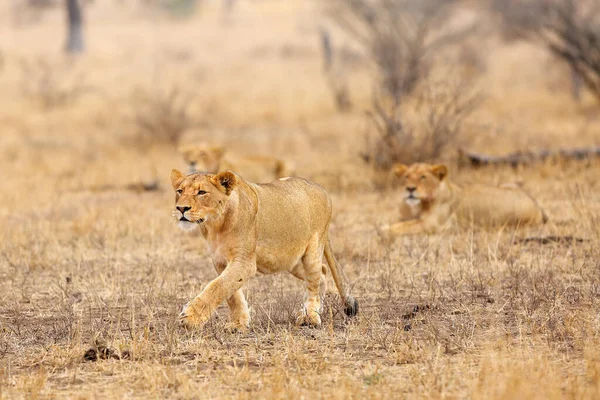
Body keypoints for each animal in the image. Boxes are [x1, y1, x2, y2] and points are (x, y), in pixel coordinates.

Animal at [170, 167, 356, 330]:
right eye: (180, 191)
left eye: (202, 192)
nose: (181, 208)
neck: (215, 225)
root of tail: (322, 189)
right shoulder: (220, 260)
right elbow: (232, 294)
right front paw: (238, 324)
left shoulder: (244, 262)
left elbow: (218, 287)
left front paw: (190, 318)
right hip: (292, 261)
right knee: (323, 272)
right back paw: (315, 310)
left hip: (312, 251)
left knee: (314, 281)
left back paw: (310, 317)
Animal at [384, 162, 548, 236]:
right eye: (407, 177)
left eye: (423, 177)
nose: (410, 189)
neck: (417, 206)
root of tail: (537, 206)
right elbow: (400, 223)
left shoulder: (433, 225)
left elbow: (402, 228)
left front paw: (384, 230)